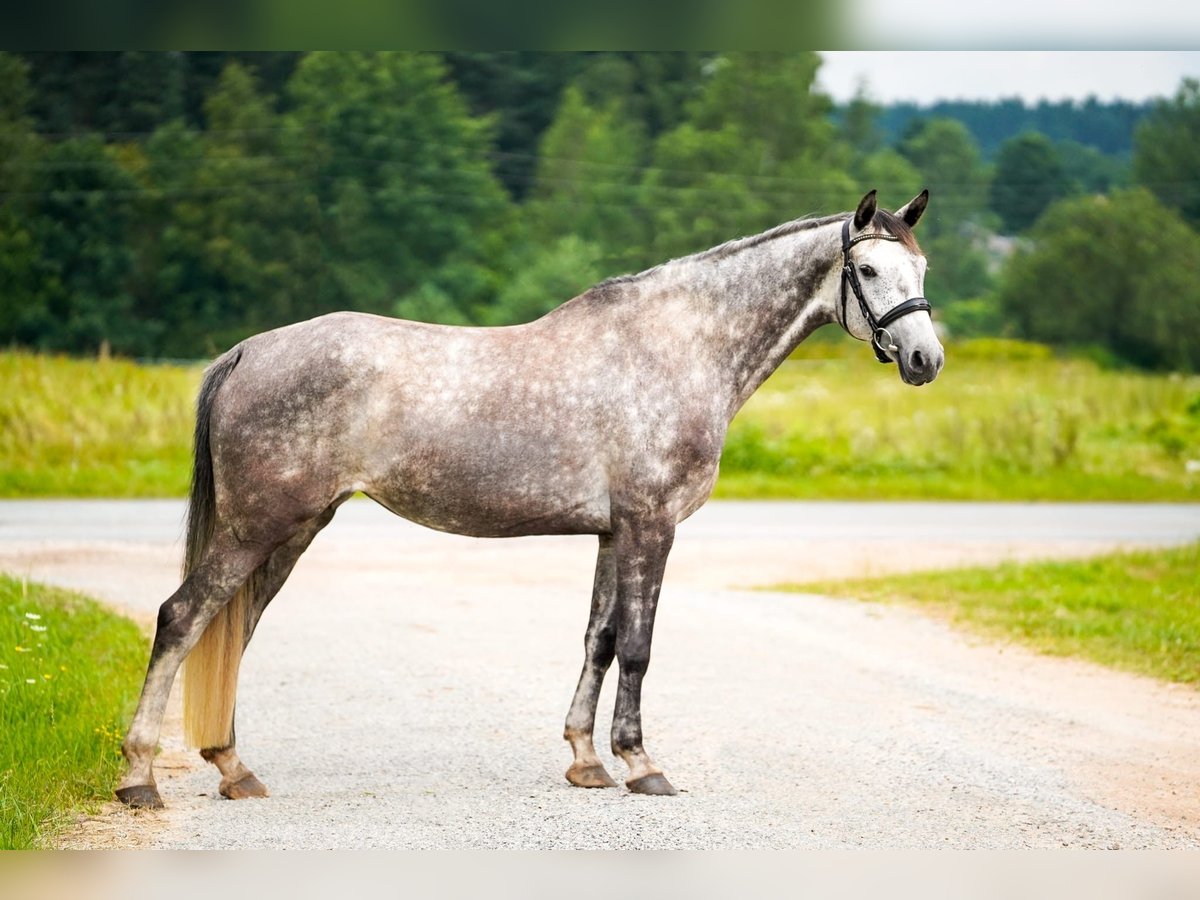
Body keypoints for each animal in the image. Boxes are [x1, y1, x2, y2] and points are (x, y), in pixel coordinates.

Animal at [116, 189, 942, 809]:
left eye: (922, 267)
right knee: (183, 617)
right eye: (868, 268)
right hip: (259, 527)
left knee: (232, 629)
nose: (925, 359)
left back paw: (233, 767)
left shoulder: (613, 533)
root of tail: (247, 350)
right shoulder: (651, 526)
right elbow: (638, 646)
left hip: (292, 529)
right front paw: (642, 765)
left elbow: (598, 640)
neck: (679, 346)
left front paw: (586, 760)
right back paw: (140, 776)